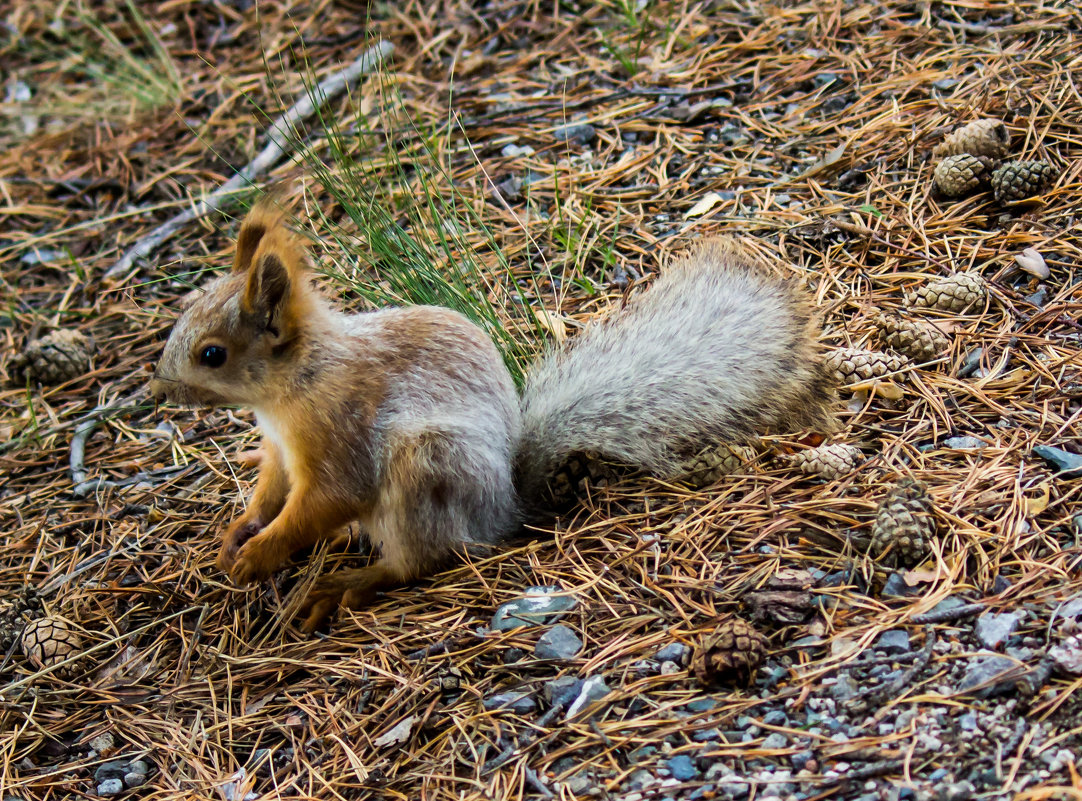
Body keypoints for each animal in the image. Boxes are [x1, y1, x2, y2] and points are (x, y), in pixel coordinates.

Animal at [148, 195, 830, 632]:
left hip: (428, 466)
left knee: (418, 561)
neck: (289, 392)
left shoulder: (342, 436)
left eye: (212, 353)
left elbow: (325, 501)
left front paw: (262, 554)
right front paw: (237, 535)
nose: (159, 389)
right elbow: (270, 493)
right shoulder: (280, 453)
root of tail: (506, 504)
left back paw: (347, 585)